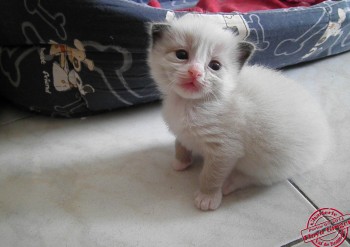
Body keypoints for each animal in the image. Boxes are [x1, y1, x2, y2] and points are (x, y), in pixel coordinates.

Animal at [147, 14, 330, 210]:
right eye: (181, 55)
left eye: (215, 66)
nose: (195, 72)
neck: (191, 103)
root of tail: (324, 137)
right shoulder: (181, 132)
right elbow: (180, 144)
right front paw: (181, 162)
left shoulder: (225, 150)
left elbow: (211, 176)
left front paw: (207, 197)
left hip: (270, 164)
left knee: (255, 179)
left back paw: (229, 184)